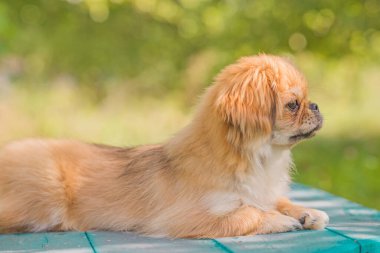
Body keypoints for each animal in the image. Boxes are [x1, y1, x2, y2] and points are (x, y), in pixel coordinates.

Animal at [0, 53, 326, 237]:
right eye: (293, 105)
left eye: (306, 100)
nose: (317, 105)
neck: (262, 160)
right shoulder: (185, 218)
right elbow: (247, 213)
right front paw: (278, 220)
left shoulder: (263, 192)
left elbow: (274, 201)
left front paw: (305, 212)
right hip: (45, 196)